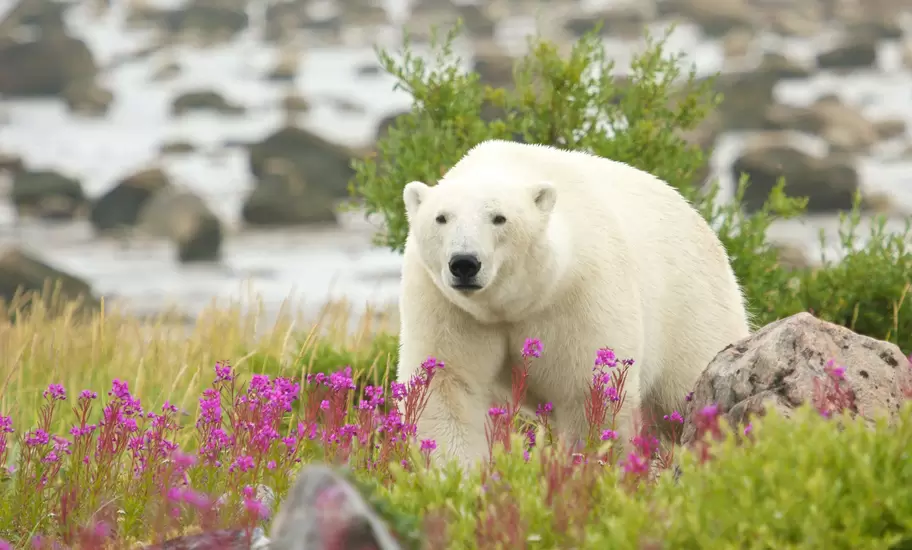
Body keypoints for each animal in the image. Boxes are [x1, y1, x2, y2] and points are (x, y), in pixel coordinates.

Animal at [395, 139, 751, 470]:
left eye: (499, 218)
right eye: (441, 218)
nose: (464, 263)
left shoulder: (580, 292)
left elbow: (588, 392)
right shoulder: (447, 304)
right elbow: (448, 383)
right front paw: (456, 473)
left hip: (691, 308)